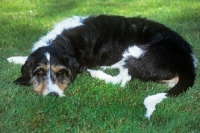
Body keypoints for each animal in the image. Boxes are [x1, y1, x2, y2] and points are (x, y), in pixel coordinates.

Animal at [7, 15, 197, 119]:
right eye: (39, 72)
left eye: (61, 73)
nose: (53, 95)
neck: (63, 41)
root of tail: (188, 60)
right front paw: (13, 58)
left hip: (135, 52)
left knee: (122, 80)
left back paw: (98, 72)